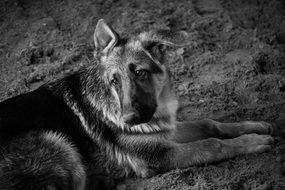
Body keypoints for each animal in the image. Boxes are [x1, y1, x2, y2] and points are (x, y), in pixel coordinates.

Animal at [0, 19, 272, 190]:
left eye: (140, 73)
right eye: (114, 80)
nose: (128, 120)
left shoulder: (165, 133)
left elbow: (209, 125)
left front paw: (253, 126)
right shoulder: (159, 155)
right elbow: (212, 144)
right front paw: (252, 142)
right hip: (57, 142)